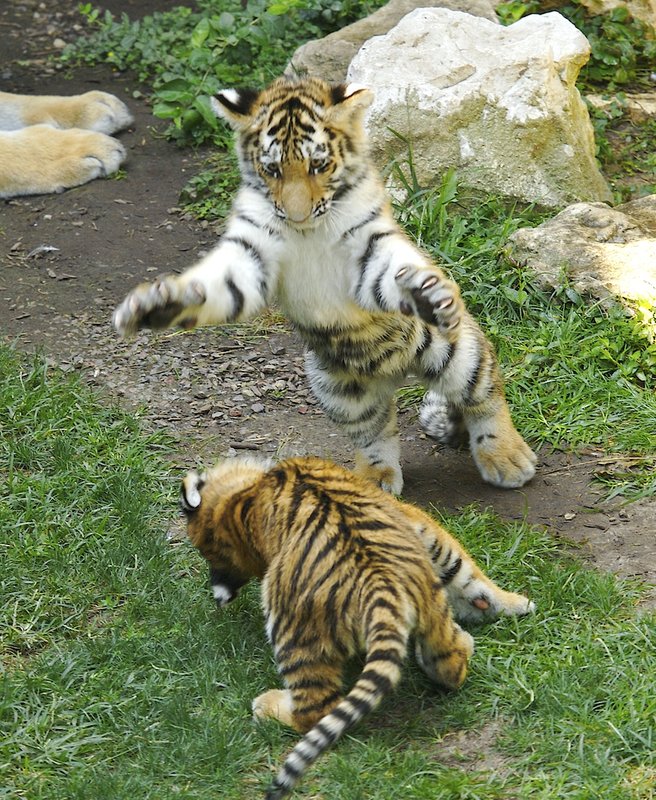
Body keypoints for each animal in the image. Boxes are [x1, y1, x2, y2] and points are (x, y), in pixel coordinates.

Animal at [113, 75, 537, 495]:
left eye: (318, 164)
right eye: (272, 170)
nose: (297, 215)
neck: (308, 232)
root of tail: (397, 372)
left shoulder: (367, 246)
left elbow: (391, 271)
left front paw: (425, 293)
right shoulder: (252, 253)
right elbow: (218, 284)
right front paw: (158, 305)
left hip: (458, 353)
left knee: (485, 399)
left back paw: (508, 459)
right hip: (335, 385)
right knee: (376, 430)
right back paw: (373, 479)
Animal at [181, 454, 535, 799]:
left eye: (212, 554)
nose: (220, 594)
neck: (244, 494)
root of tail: (382, 586)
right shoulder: (413, 521)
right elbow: (462, 569)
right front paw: (512, 604)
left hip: (291, 626)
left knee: (314, 709)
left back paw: (266, 706)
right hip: (429, 604)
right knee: (451, 663)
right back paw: (479, 631)